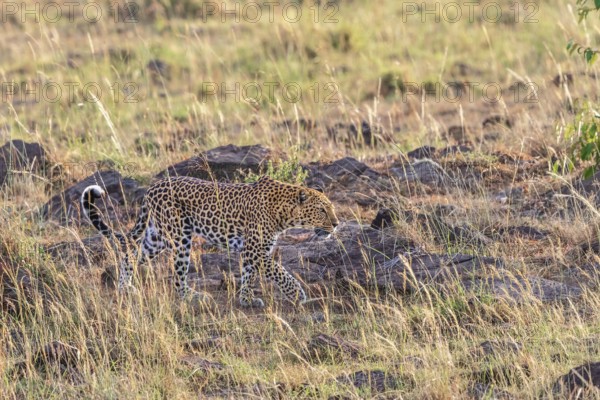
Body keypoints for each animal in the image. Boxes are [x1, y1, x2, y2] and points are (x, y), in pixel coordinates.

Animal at [81, 174, 338, 306]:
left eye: (331, 209)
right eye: (322, 211)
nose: (336, 224)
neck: (284, 212)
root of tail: (152, 187)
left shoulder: (251, 251)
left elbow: (248, 274)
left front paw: (246, 299)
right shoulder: (255, 250)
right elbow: (279, 271)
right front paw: (297, 295)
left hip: (157, 237)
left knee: (130, 255)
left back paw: (125, 287)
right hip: (179, 237)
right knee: (177, 277)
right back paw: (191, 296)